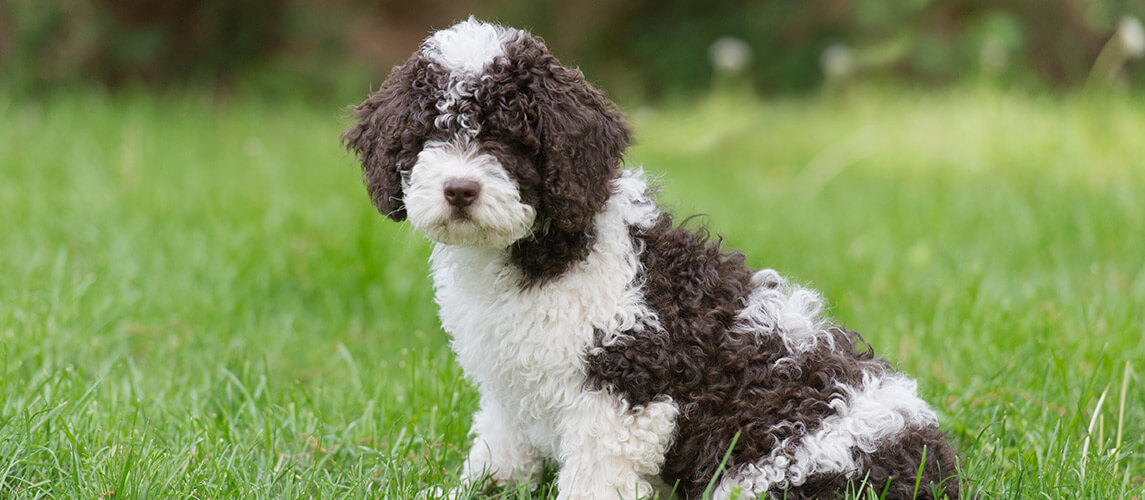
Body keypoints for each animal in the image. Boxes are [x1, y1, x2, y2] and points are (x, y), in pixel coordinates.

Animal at [341, 17, 966, 496]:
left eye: (511, 139)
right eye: (428, 135)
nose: (459, 190)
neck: (539, 252)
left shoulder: (625, 386)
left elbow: (593, 479)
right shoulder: (509, 387)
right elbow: (500, 453)